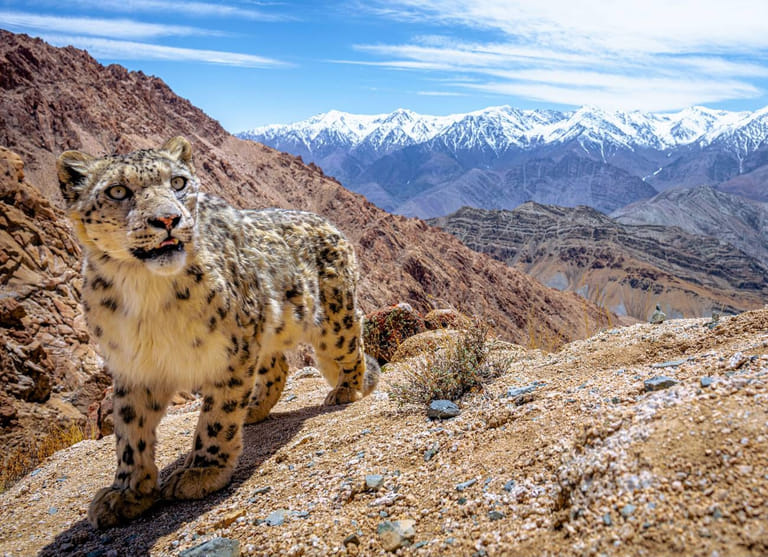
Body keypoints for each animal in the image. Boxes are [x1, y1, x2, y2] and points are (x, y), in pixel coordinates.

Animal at [56, 137, 380, 529]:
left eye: (178, 182)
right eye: (117, 191)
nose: (168, 219)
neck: (144, 290)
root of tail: (332, 226)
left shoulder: (232, 350)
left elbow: (217, 414)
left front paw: (202, 472)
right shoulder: (133, 365)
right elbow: (130, 432)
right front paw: (126, 492)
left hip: (331, 319)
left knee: (350, 344)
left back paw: (346, 390)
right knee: (277, 366)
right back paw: (254, 408)